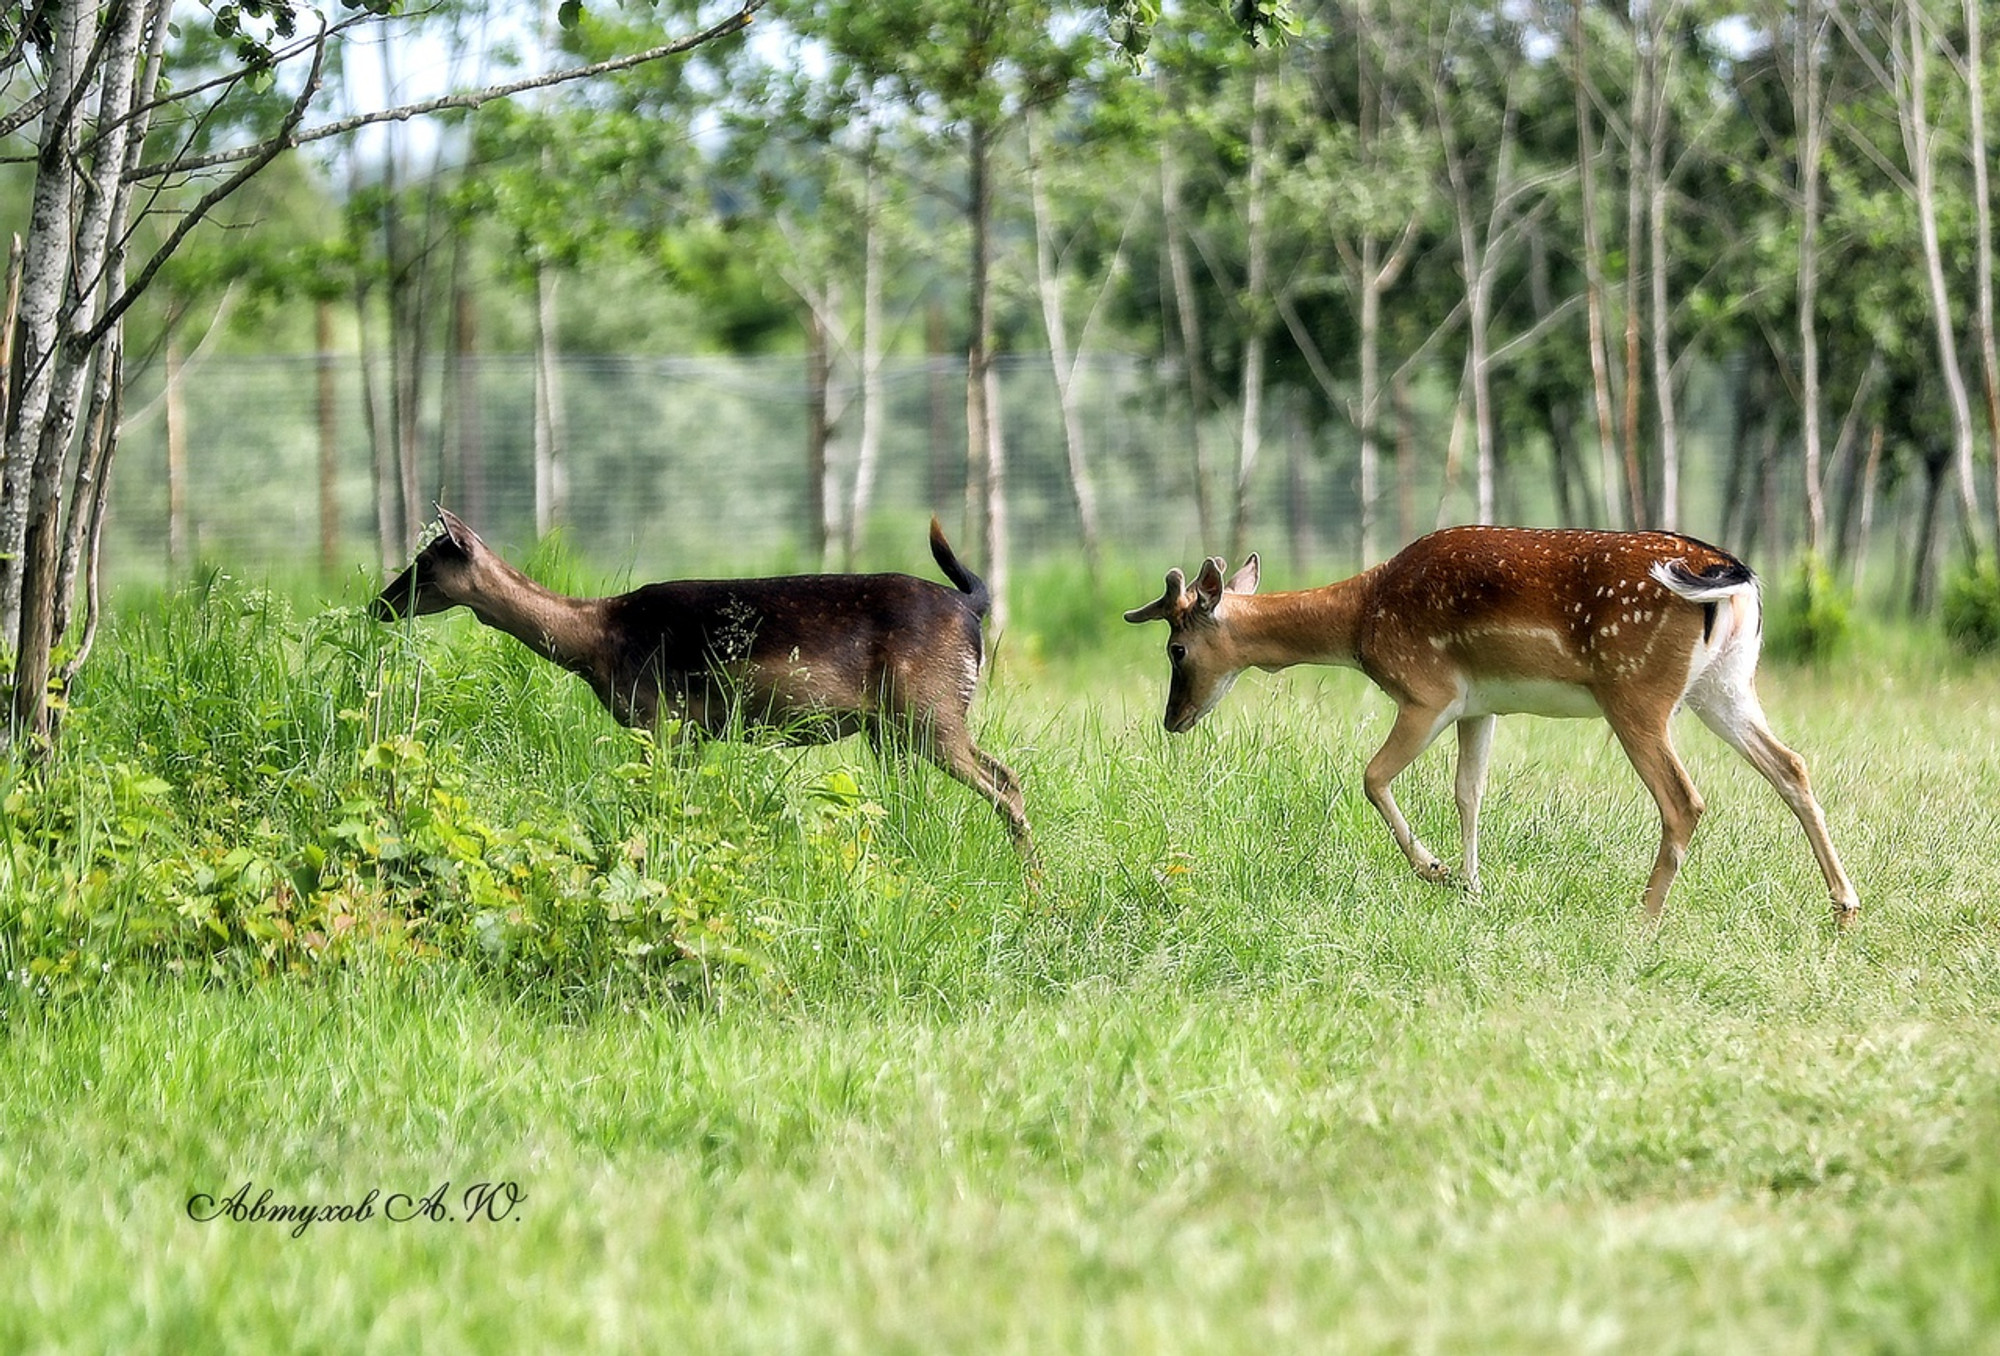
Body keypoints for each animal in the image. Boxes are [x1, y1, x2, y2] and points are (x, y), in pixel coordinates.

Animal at [376, 510, 1032, 860]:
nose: (379, 604)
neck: (596, 642)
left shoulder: (661, 716)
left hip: (931, 708)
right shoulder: (690, 731)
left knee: (1005, 781)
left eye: (426, 562)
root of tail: (971, 606)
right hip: (895, 727)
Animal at [1128, 528, 1856, 924]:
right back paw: (1844, 907)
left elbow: (1372, 776)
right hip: (1725, 686)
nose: (1172, 719)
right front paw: (1475, 889)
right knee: (1792, 765)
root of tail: (1731, 578)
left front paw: (1437, 871)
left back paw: (1642, 919)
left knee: (1685, 799)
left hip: (1637, 691)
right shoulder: (1481, 706)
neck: (1362, 623)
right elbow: (1469, 792)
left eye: (1176, 649)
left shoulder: (1428, 692)